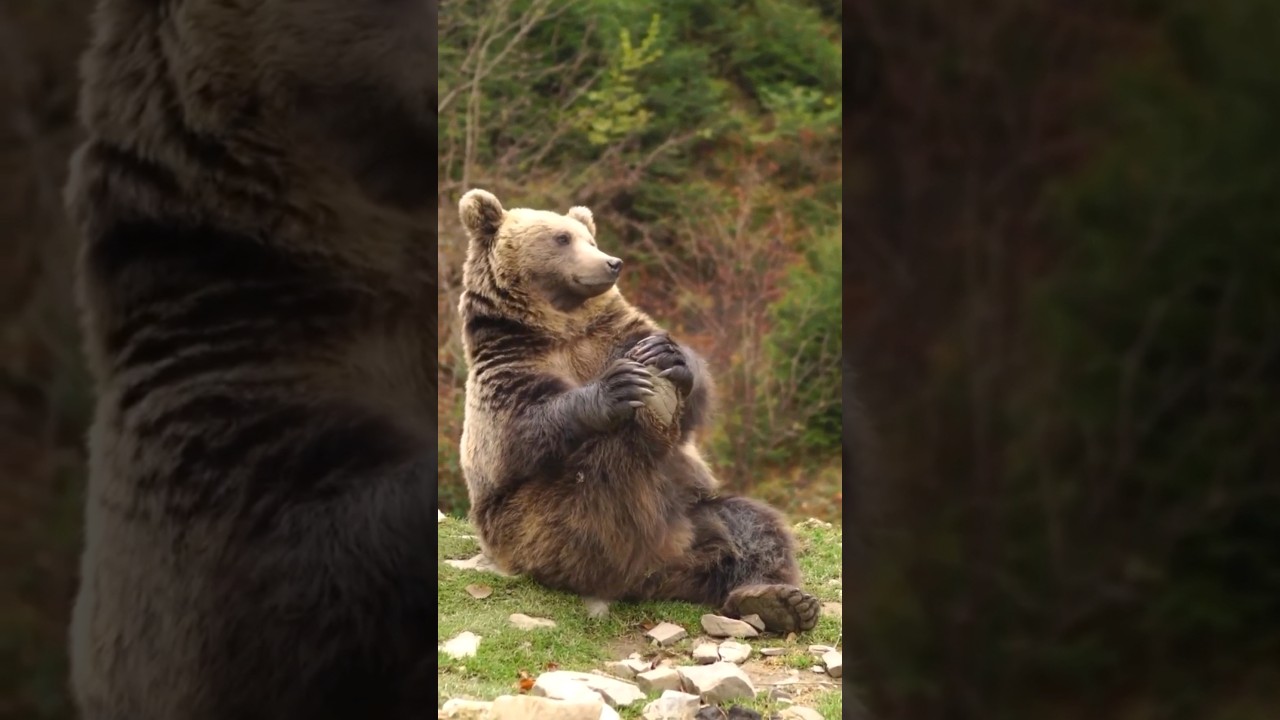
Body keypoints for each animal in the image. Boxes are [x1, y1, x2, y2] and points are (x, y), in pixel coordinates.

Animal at [457, 188, 821, 633]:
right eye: (562, 238)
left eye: (589, 238)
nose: (611, 262)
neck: (560, 325)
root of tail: (666, 563)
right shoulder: (507, 364)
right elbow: (523, 426)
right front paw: (616, 388)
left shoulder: (613, 332)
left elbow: (687, 386)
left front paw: (670, 358)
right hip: (534, 525)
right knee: (601, 486)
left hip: (697, 510)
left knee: (752, 524)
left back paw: (777, 599)